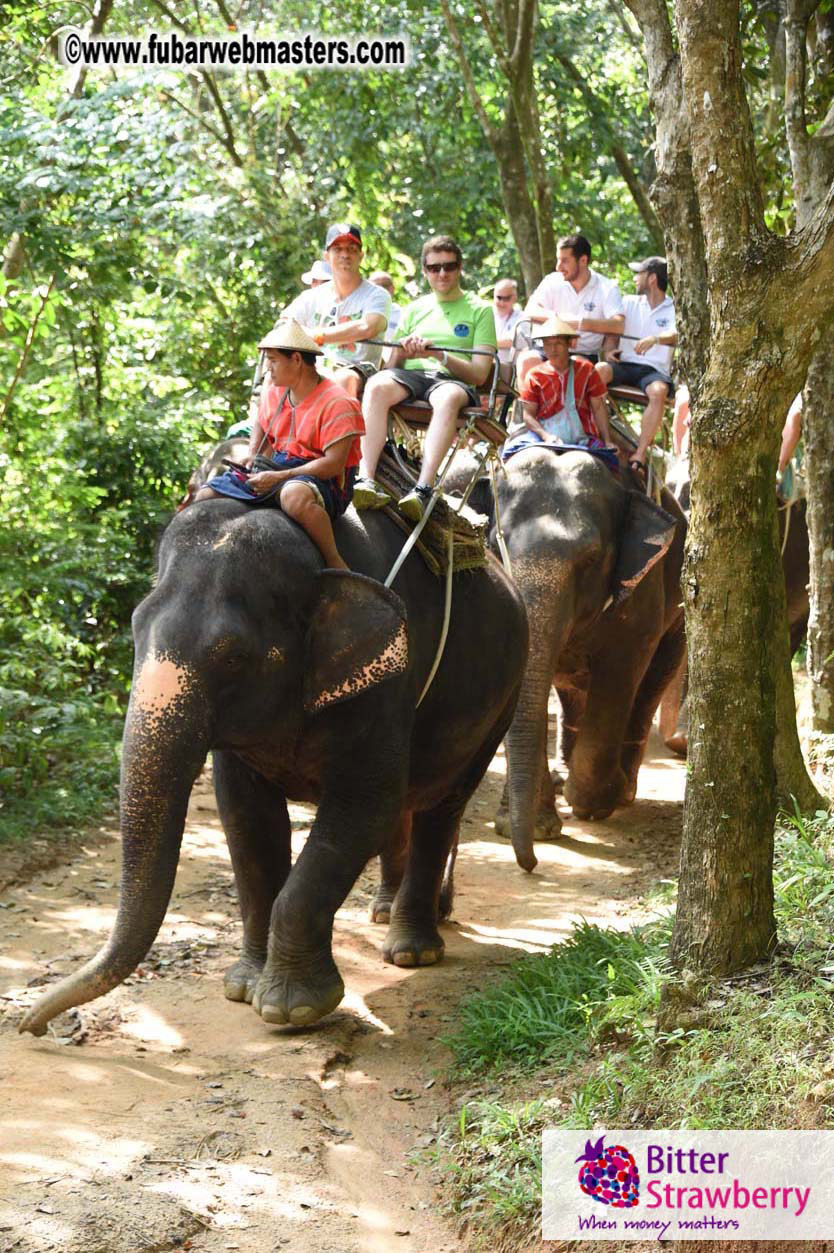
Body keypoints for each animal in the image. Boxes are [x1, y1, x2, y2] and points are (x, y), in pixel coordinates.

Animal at [20, 498, 527, 1036]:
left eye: (233, 657)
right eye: (136, 630)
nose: (34, 1026)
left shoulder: (389, 680)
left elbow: (364, 807)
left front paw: (292, 1009)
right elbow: (247, 822)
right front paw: (243, 987)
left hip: (505, 697)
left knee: (442, 805)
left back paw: (412, 951)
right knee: (409, 809)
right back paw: (385, 911)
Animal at [491, 446, 686, 871]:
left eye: (592, 558)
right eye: (499, 545)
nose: (530, 863)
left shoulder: (642, 591)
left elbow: (620, 672)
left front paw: (590, 804)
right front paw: (538, 827)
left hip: (678, 614)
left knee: (651, 683)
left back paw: (622, 789)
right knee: (571, 689)